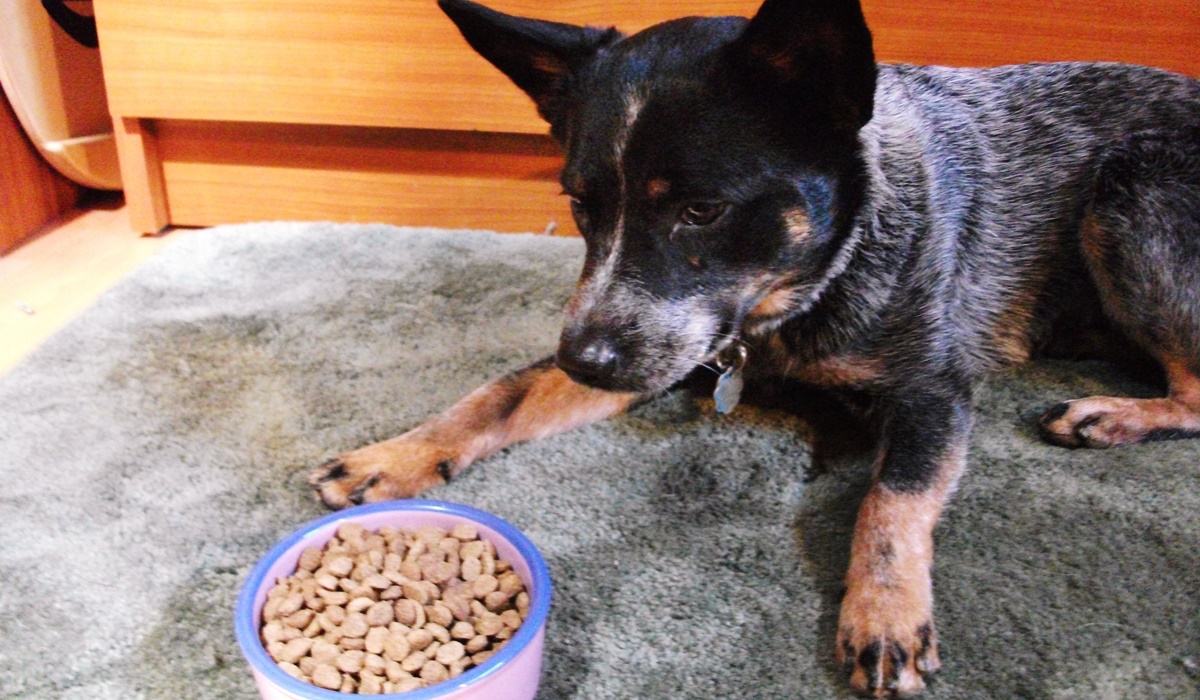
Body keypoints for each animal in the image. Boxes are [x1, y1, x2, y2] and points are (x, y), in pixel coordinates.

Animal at [309, 1, 1200, 696]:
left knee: (1194, 390)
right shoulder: (668, 342)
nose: (582, 362)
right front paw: (397, 454)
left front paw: (884, 611)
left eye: (701, 210)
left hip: (1132, 189)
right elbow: (502, 392)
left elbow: (892, 499)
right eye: (582, 204)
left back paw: (1113, 414)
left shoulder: (931, 388)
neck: (800, 294)